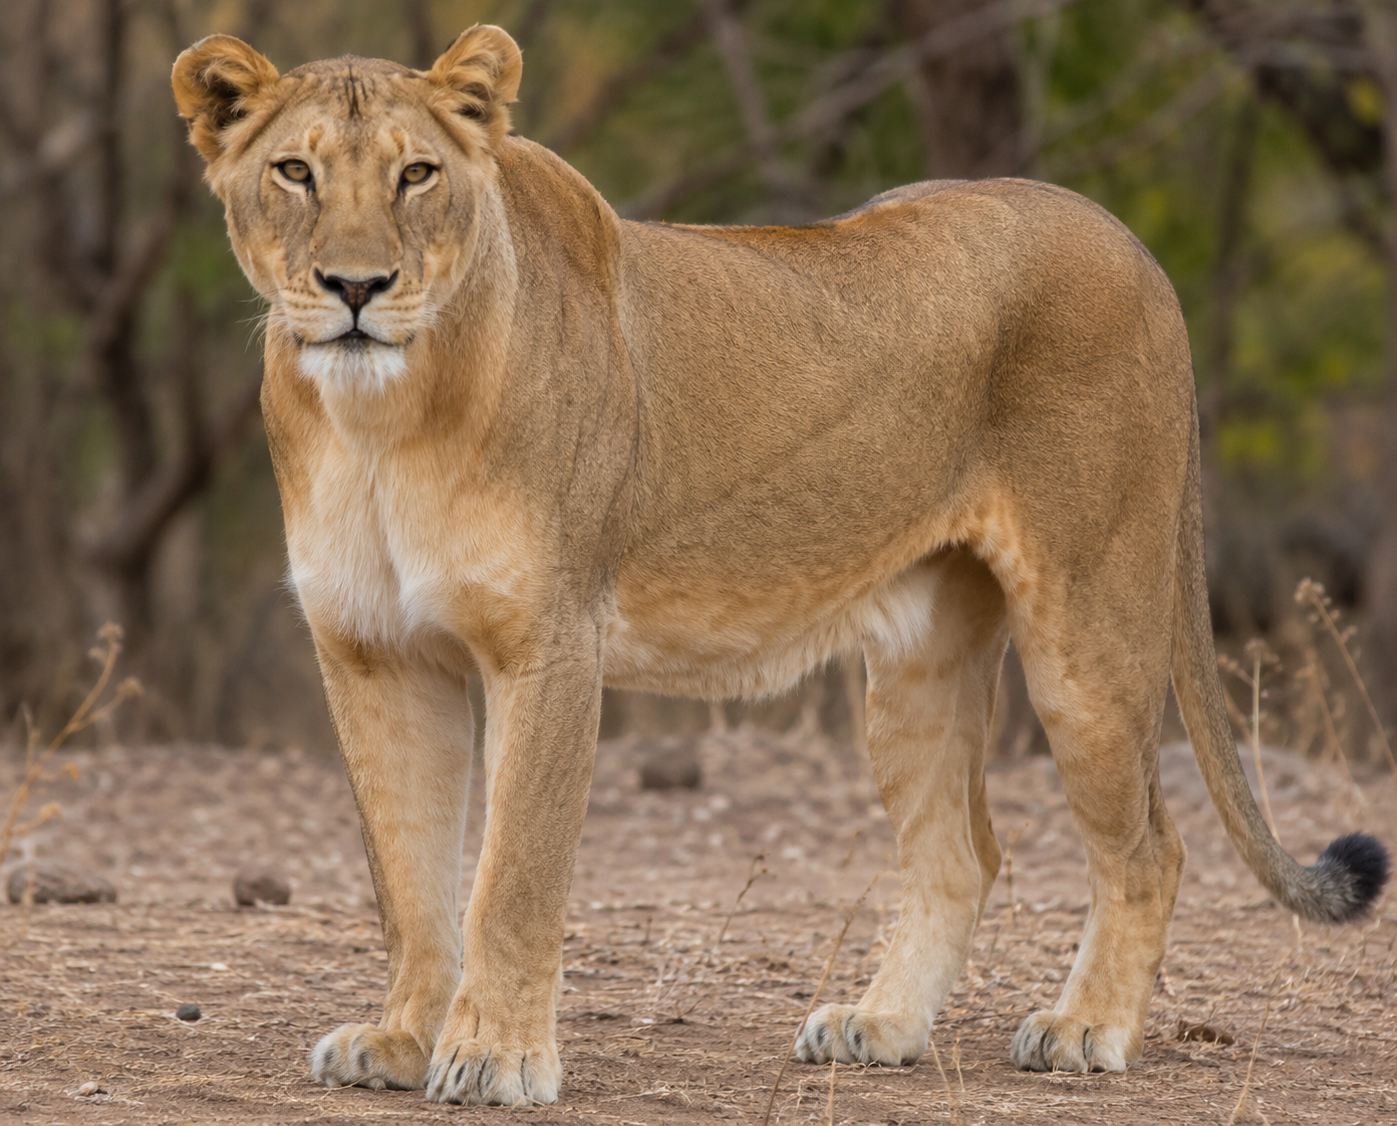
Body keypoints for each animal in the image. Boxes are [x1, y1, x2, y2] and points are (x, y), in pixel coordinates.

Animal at [172, 25, 1388, 1107]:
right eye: (294, 171)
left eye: (417, 173)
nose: (356, 288)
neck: (379, 423)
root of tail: (1126, 240)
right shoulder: (372, 653)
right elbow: (409, 878)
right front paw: (400, 1040)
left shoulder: (550, 644)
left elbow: (510, 875)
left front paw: (497, 1059)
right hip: (918, 658)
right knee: (963, 851)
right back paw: (880, 1026)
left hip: (1088, 631)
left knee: (1148, 846)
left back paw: (1084, 1029)